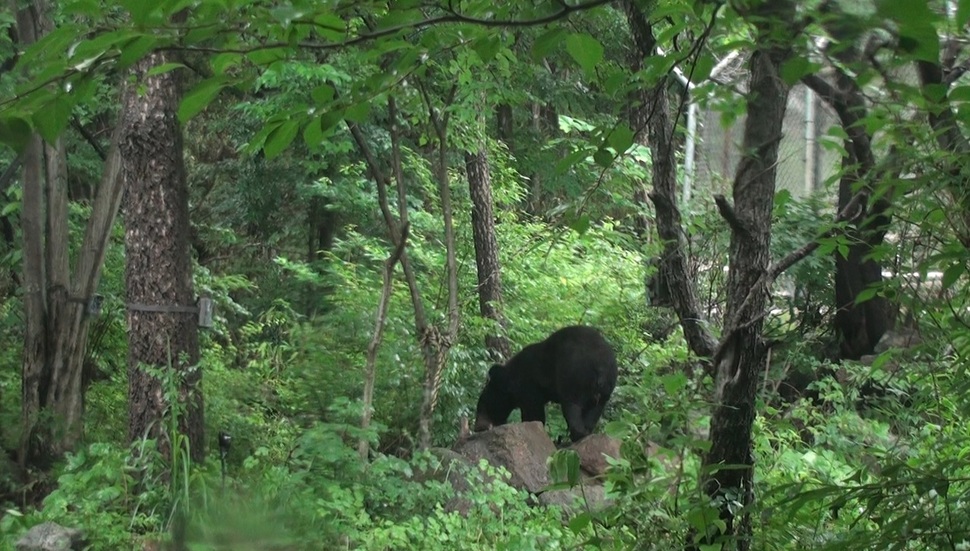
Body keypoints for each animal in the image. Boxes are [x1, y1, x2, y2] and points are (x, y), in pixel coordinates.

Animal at [472, 326, 616, 442]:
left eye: (481, 406)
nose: (478, 427)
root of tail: (601, 366)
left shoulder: (529, 385)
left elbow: (533, 412)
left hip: (573, 375)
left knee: (572, 406)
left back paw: (573, 437)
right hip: (604, 391)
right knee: (594, 411)